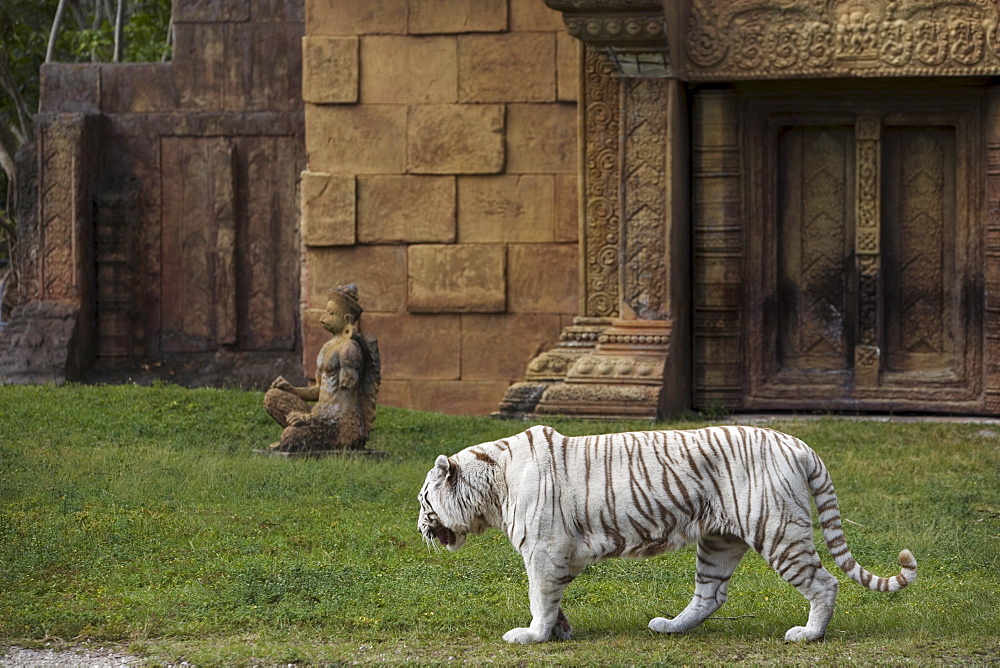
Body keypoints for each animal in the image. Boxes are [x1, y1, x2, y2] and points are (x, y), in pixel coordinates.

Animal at [418, 426, 916, 644]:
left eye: (424, 502)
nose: (420, 528)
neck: (492, 487)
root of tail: (797, 443)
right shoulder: (559, 555)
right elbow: (552, 596)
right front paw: (559, 630)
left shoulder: (544, 550)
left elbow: (538, 596)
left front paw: (533, 635)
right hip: (719, 540)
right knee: (711, 595)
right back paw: (670, 627)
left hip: (777, 531)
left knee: (824, 583)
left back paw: (809, 634)